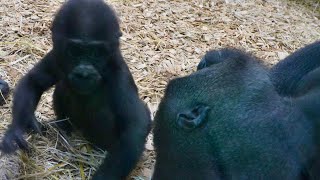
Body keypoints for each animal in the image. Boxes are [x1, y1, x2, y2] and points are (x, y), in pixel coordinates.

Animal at [0, 0, 151, 180]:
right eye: (75, 51)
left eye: (97, 53)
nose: (84, 72)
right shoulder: (56, 56)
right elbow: (33, 82)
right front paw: (18, 130)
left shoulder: (118, 73)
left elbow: (135, 126)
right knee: (62, 87)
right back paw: (63, 128)